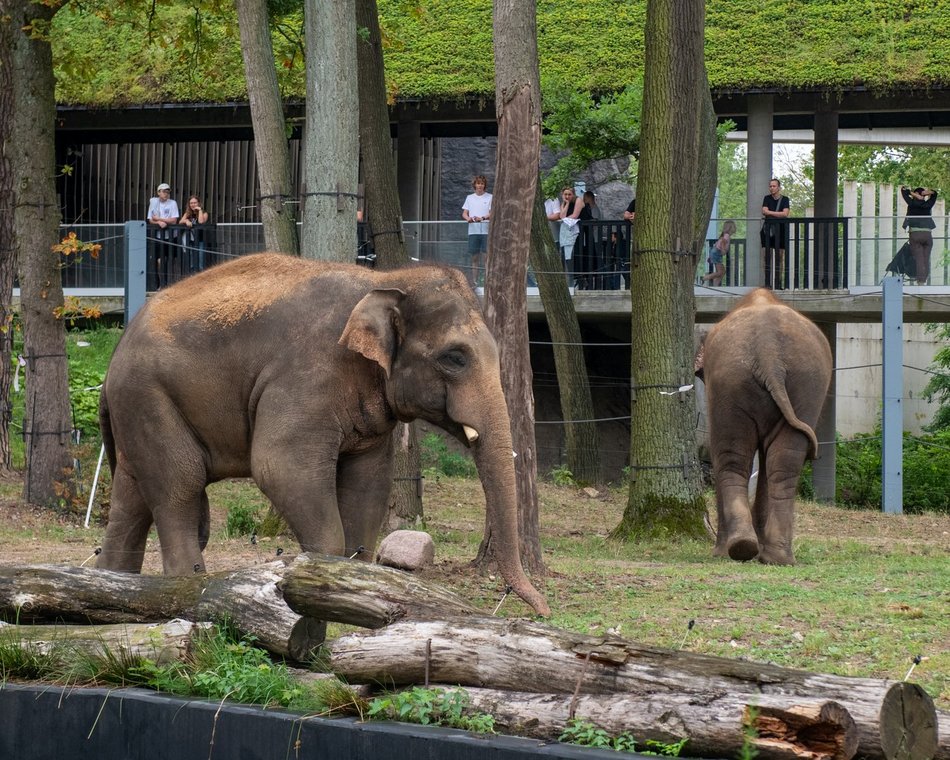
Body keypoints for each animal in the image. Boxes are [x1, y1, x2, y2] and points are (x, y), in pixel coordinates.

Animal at [98, 254, 552, 616]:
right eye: (454, 358)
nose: (542, 611)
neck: (386, 279)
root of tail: (115, 354)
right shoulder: (306, 375)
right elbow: (279, 466)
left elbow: (369, 484)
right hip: (149, 398)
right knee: (180, 486)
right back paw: (184, 585)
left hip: (137, 413)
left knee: (131, 500)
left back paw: (111, 592)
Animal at [700, 290, 832, 564]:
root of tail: (768, 353)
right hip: (804, 382)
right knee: (784, 461)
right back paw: (774, 556)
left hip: (730, 382)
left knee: (731, 458)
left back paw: (740, 549)